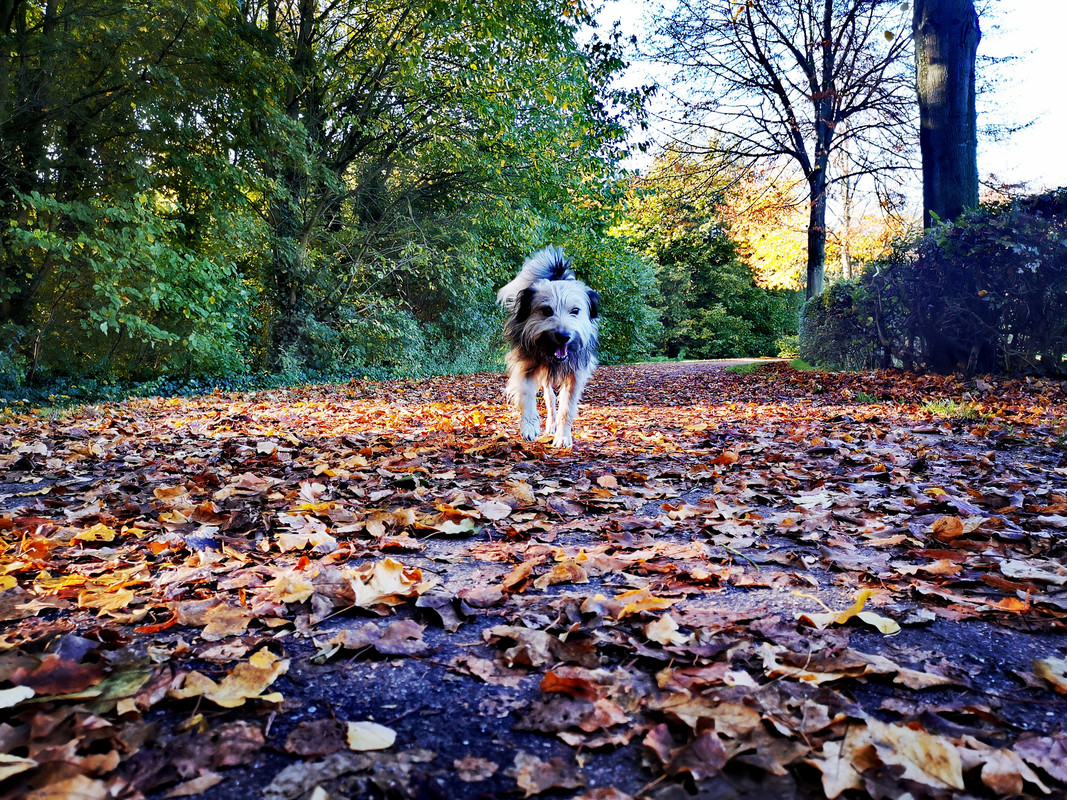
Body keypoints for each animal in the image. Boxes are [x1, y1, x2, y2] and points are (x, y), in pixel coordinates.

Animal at [497, 247, 601, 448]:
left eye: (575, 311)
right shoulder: (526, 367)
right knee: (550, 399)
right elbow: (527, 396)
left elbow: (567, 408)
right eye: (546, 310)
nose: (563, 336)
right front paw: (529, 426)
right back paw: (550, 424)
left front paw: (563, 436)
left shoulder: (576, 375)